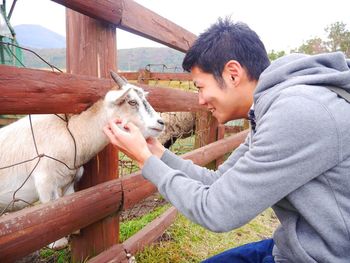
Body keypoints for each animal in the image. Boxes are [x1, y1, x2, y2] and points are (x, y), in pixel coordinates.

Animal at [0, 71, 164, 250]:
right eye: (132, 101)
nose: (161, 123)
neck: (71, 134)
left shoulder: (68, 183)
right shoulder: (45, 181)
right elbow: (50, 210)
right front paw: (57, 243)